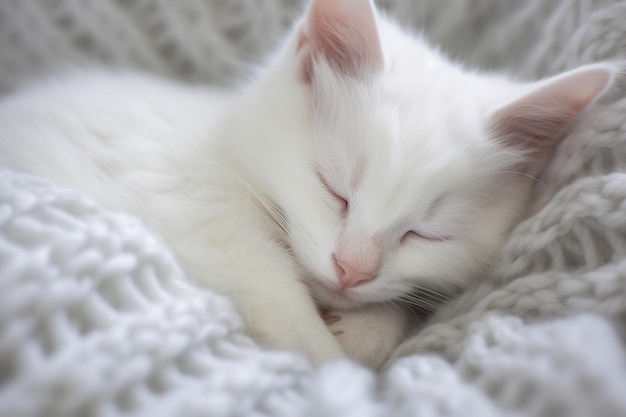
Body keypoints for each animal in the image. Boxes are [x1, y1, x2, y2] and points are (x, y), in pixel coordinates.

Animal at [0, 0, 616, 368]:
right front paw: (327, 356)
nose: (352, 268)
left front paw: (369, 329)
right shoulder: (196, 213)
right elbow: (268, 289)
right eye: (333, 188)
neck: (228, 149)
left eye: (425, 233)